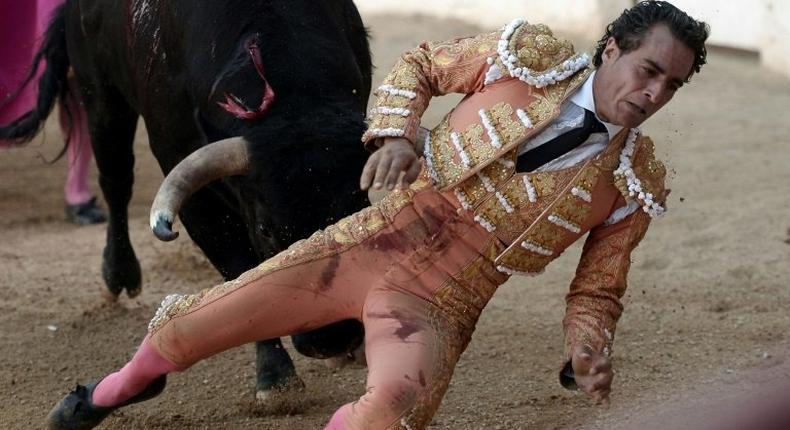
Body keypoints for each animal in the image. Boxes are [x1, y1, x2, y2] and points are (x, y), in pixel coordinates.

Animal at [0, 0, 376, 398]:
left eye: (359, 204)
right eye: (266, 229)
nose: (333, 338)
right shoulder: (195, 194)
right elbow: (239, 271)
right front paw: (275, 377)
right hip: (100, 94)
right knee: (116, 179)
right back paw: (118, 272)